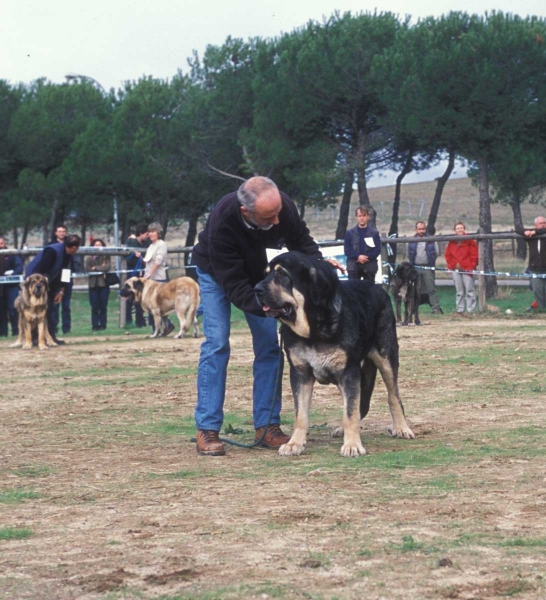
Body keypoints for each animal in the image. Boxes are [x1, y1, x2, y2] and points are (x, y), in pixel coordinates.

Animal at [255, 251, 412, 458]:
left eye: (282, 274)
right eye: (265, 274)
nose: (256, 289)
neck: (313, 329)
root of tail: (378, 287)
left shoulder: (349, 372)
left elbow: (350, 411)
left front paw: (352, 445)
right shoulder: (300, 374)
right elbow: (301, 414)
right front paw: (294, 443)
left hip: (386, 357)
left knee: (393, 396)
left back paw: (401, 427)